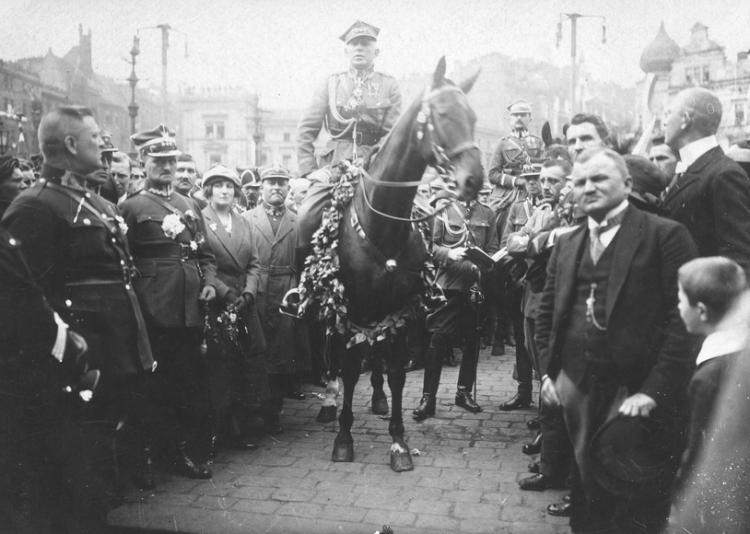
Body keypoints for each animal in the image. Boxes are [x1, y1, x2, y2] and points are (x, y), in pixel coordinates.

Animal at [330, 58, 484, 476]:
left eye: (473, 118)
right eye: (443, 115)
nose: (475, 179)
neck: (384, 222)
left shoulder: (400, 307)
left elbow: (398, 373)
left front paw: (398, 442)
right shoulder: (353, 306)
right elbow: (349, 368)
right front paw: (344, 438)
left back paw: (379, 400)